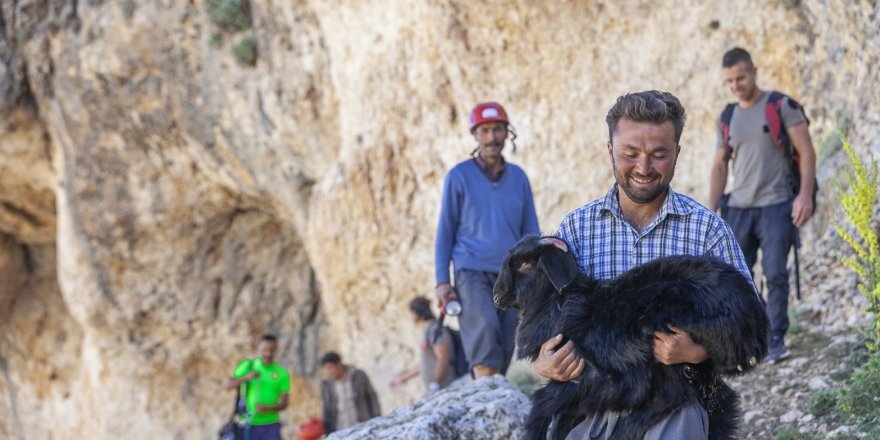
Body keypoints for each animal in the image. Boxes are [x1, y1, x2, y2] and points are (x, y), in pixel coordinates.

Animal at [496, 237, 768, 440]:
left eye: (524, 265)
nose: (497, 295)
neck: (555, 306)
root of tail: (755, 324)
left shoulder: (595, 375)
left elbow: (543, 403)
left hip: (664, 340)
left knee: (674, 394)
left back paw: (627, 429)